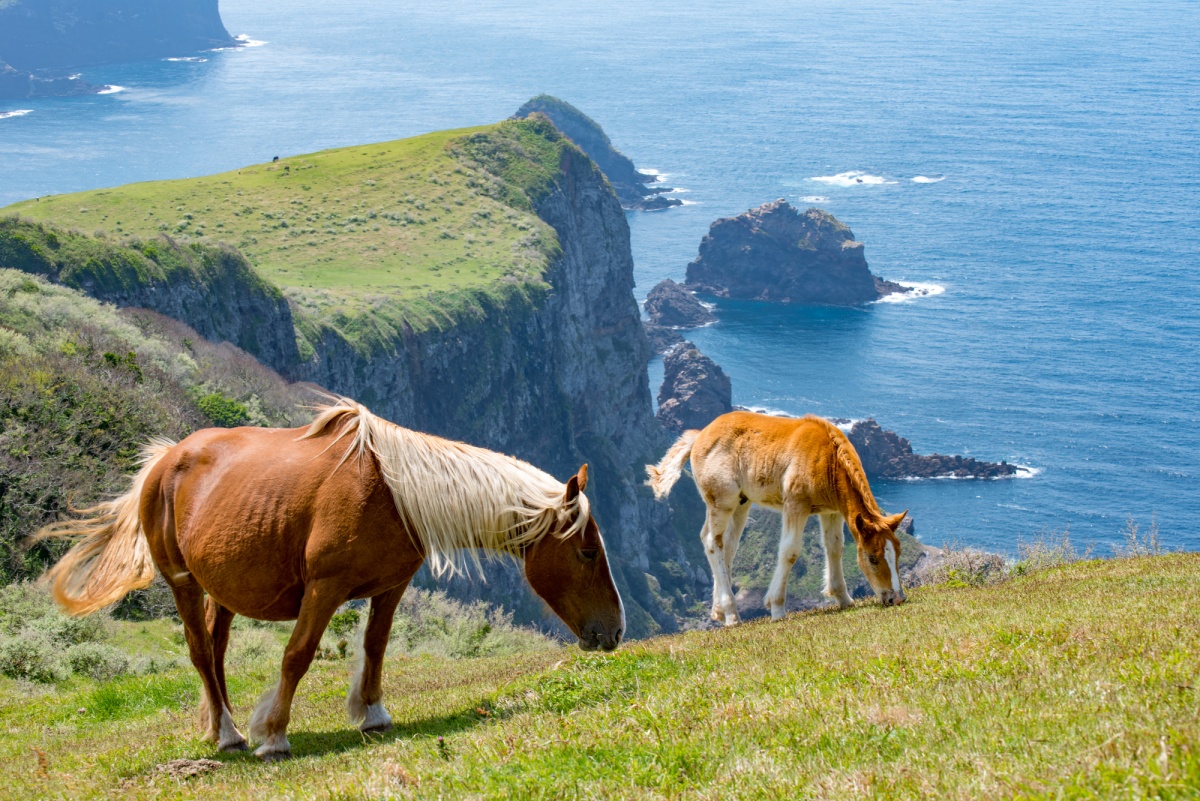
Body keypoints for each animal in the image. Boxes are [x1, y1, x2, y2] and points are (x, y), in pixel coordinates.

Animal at [42, 398, 624, 762]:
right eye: (588, 552)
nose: (614, 632)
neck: (393, 492)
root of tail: (165, 460)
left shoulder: (390, 587)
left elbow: (375, 646)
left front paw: (373, 713)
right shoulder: (325, 589)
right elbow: (297, 655)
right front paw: (274, 734)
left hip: (223, 590)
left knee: (217, 650)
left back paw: (219, 724)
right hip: (183, 582)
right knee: (201, 654)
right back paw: (229, 735)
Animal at [648, 412, 907, 623]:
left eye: (897, 553)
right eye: (872, 558)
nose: (897, 599)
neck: (828, 459)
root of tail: (700, 434)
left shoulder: (831, 511)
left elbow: (834, 548)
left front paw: (843, 598)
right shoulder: (795, 504)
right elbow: (789, 551)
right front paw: (776, 608)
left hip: (741, 503)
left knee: (726, 545)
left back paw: (719, 611)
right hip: (722, 502)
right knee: (713, 542)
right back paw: (732, 615)